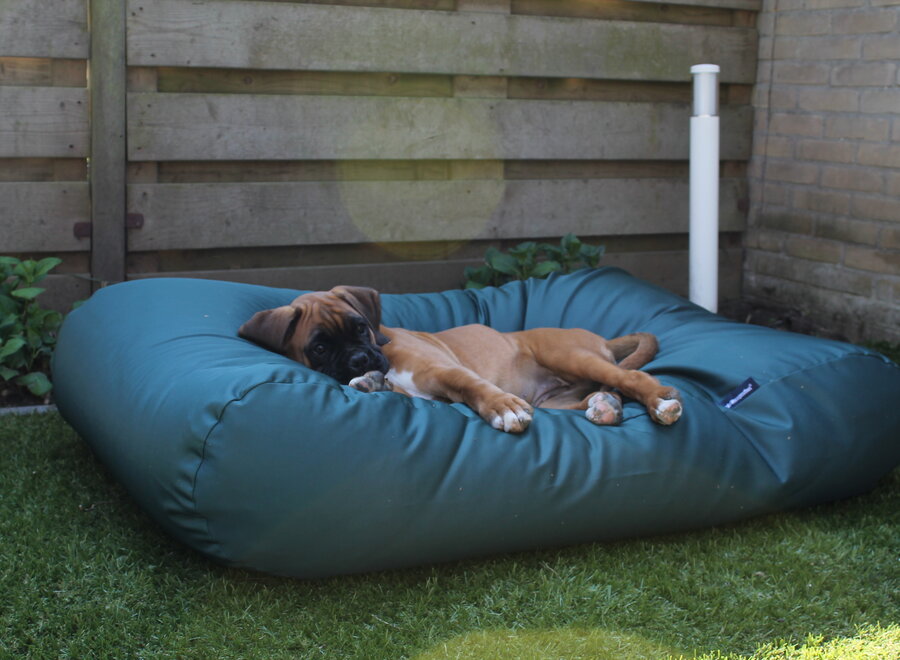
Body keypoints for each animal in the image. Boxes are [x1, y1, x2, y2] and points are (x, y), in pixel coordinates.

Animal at [239, 284, 684, 434]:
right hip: (556, 401)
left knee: (635, 381)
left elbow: (473, 387)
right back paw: (605, 406)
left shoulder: (445, 372)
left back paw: (660, 402)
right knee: (605, 393)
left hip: (572, 357)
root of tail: (601, 339)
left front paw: (503, 408)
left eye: (361, 327)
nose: (360, 359)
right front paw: (370, 382)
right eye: (319, 348)